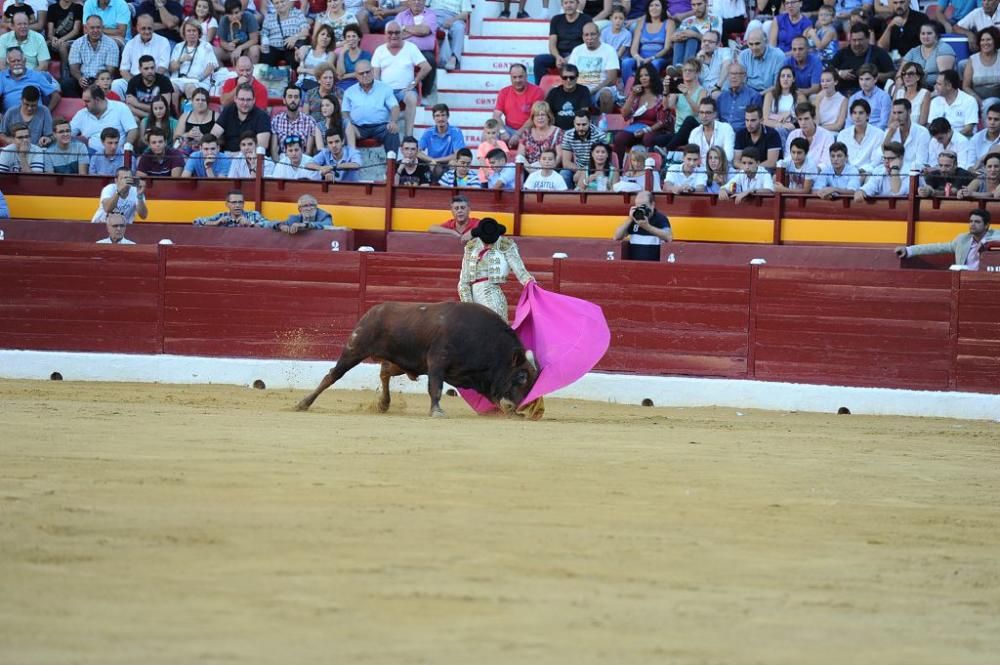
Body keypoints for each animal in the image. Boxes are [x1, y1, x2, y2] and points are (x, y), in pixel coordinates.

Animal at [296, 300, 540, 416]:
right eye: (520, 377)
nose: (524, 407)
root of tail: (373, 311)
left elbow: (493, 397)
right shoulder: (437, 362)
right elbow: (436, 388)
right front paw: (437, 411)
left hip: (403, 361)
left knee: (385, 372)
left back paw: (384, 404)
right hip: (355, 349)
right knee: (332, 375)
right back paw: (303, 403)